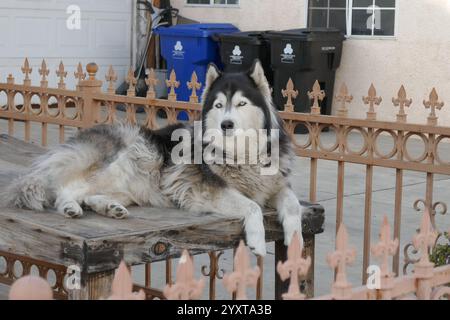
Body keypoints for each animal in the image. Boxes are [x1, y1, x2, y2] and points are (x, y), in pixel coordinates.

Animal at [3, 59, 304, 255]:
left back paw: (109, 208)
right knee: (66, 188)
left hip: (132, 184)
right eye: (219, 105)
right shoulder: (205, 191)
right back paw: (69, 207)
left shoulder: (276, 185)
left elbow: (294, 205)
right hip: (129, 159)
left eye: (241, 103)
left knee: (89, 194)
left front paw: (296, 238)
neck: (241, 154)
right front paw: (257, 239)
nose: (226, 124)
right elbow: (252, 206)